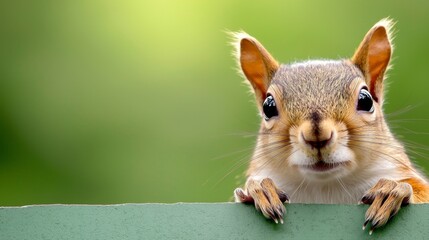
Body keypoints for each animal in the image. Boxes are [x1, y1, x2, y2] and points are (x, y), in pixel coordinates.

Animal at [232, 18, 426, 234]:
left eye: (366, 100)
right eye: (268, 107)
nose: (317, 136)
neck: (326, 187)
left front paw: (393, 190)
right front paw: (260, 189)